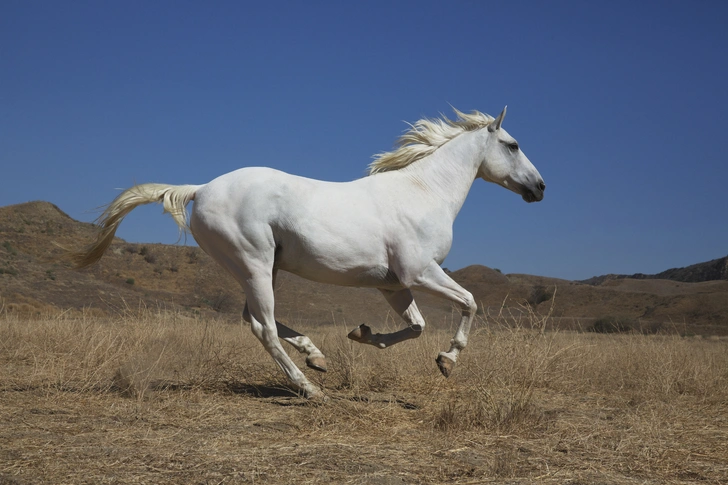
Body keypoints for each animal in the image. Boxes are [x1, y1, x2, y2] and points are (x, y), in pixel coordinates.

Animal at [69, 108, 544, 398]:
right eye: (513, 144)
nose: (540, 188)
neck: (423, 192)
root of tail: (200, 189)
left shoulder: (394, 285)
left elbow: (416, 327)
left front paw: (363, 335)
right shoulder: (420, 272)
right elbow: (469, 303)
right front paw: (447, 360)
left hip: (263, 268)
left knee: (254, 319)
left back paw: (315, 356)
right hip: (255, 264)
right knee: (261, 327)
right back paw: (308, 387)